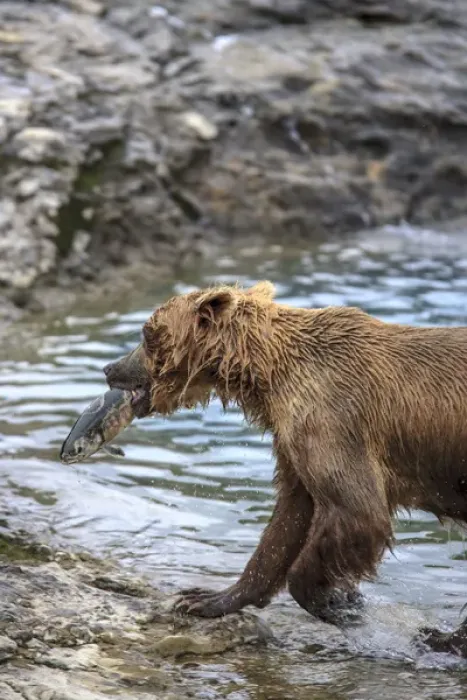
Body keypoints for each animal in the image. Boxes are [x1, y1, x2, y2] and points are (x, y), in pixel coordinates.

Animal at [103, 280, 467, 646]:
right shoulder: (293, 437)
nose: (110, 369)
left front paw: (338, 601)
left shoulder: (332, 418)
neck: (267, 374)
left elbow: (358, 509)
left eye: (147, 333)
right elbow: (290, 517)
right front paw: (207, 598)